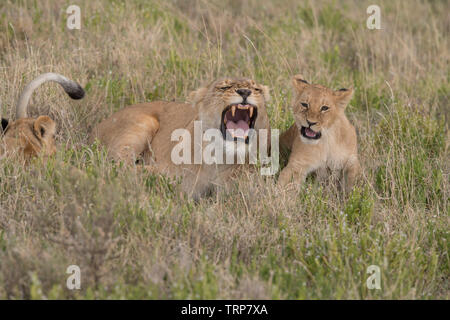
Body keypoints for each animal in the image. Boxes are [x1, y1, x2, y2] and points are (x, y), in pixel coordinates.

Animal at [89, 77, 268, 198]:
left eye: (256, 89)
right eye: (225, 87)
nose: (245, 92)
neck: (221, 156)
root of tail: (95, 128)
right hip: (144, 123)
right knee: (115, 166)